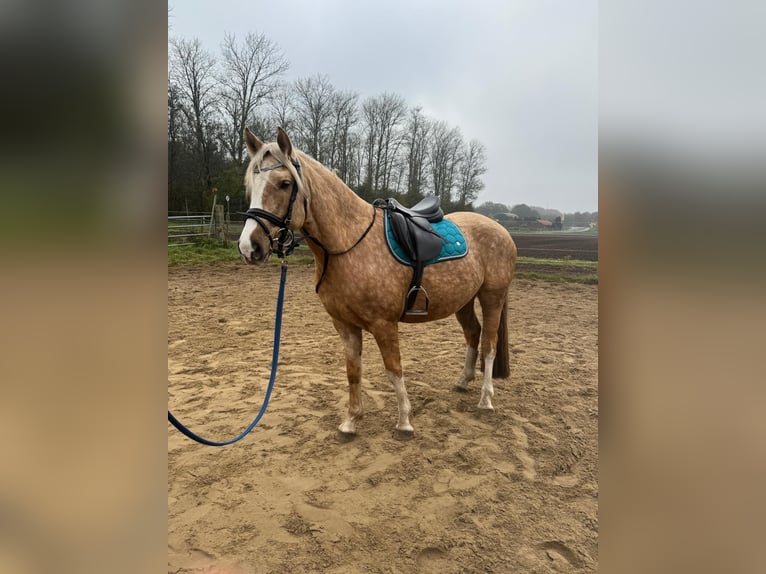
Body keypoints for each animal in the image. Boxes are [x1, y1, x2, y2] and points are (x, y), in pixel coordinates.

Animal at [237, 127, 520, 440]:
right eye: (251, 184)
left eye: (285, 183)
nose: (250, 247)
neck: (349, 242)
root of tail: (499, 228)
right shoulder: (345, 325)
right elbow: (353, 371)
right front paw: (350, 422)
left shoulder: (384, 324)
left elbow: (393, 369)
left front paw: (404, 422)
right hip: (464, 300)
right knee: (473, 333)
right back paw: (463, 381)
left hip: (492, 296)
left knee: (489, 344)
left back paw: (486, 400)